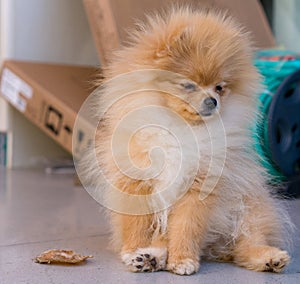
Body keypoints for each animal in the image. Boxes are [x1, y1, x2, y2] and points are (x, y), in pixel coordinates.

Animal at [80, 7, 292, 274]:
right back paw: (149, 257)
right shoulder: (137, 181)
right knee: (164, 241)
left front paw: (183, 259)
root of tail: (216, 247)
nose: (213, 101)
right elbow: (137, 224)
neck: (180, 129)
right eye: (188, 85)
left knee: (246, 243)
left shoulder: (199, 187)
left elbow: (187, 227)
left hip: (248, 207)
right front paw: (134, 250)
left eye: (220, 87)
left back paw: (269, 258)